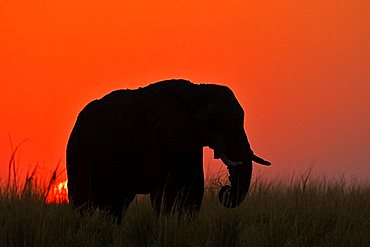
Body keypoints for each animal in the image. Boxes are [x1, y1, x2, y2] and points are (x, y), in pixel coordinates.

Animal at [66, 79, 268, 222]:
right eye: (221, 121)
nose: (225, 189)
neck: (196, 93)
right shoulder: (159, 136)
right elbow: (165, 190)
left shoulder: (190, 142)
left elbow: (194, 187)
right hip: (78, 153)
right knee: (83, 203)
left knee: (117, 205)